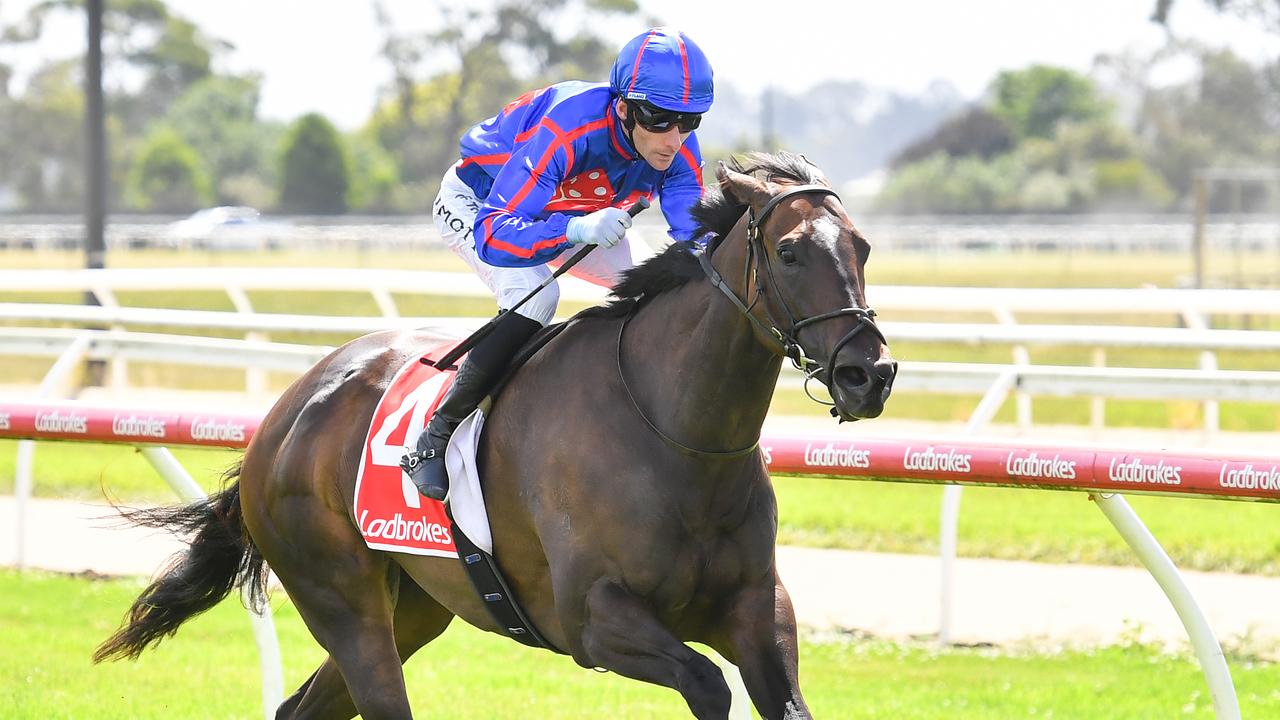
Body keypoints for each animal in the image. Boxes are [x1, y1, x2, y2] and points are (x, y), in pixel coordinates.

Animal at [94, 148, 901, 712]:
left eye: (862, 247)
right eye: (790, 251)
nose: (870, 374)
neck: (676, 434)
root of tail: (281, 418)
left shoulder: (758, 609)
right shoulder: (593, 619)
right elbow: (706, 682)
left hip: (416, 604)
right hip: (341, 600)